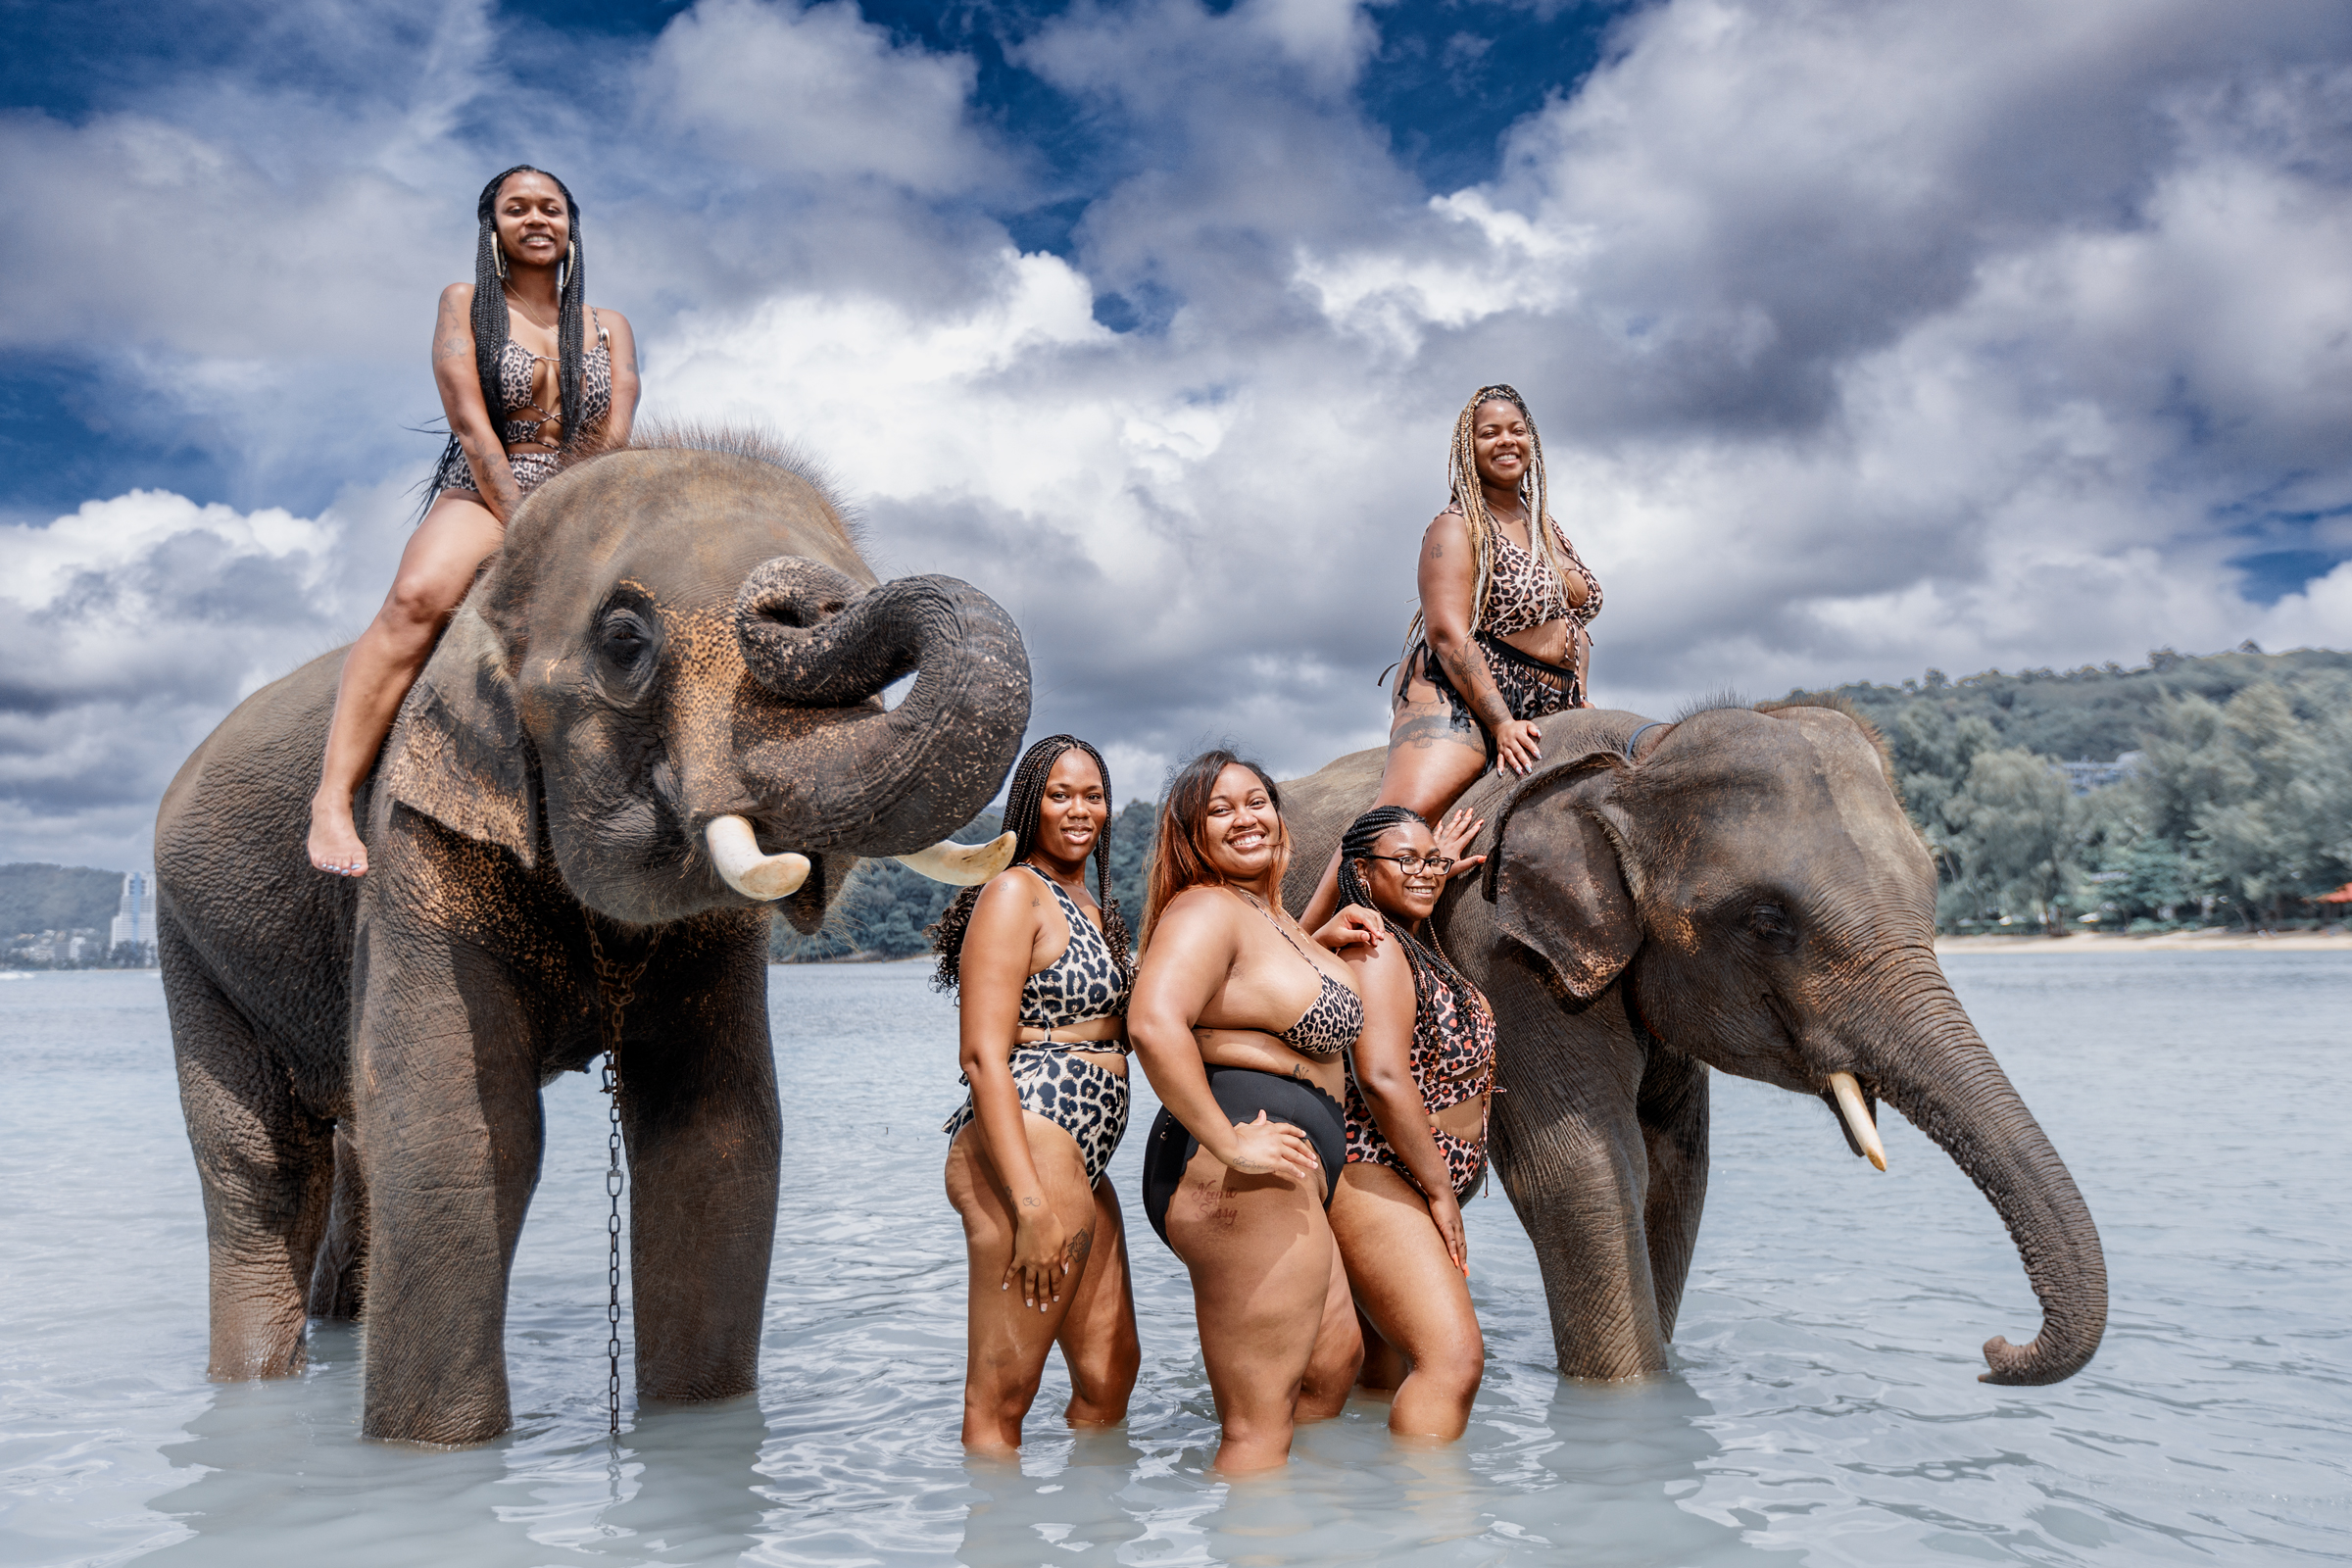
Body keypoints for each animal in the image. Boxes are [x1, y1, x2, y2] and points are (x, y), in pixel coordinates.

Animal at [156, 432, 1031, 1444]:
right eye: (624, 642)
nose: (805, 600)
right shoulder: (413, 835)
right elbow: (457, 1132)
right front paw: (431, 1457)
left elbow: (714, 1136)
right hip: (192, 942)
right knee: (260, 1171)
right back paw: (254, 1381)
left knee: (344, 1156)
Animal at [1280, 701, 2105, 1386]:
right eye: (1768, 921)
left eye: (1932, 891)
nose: (1993, 1349)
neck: (1639, 760)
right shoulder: (1500, 947)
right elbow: (1586, 1169)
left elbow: (1674, 1169)